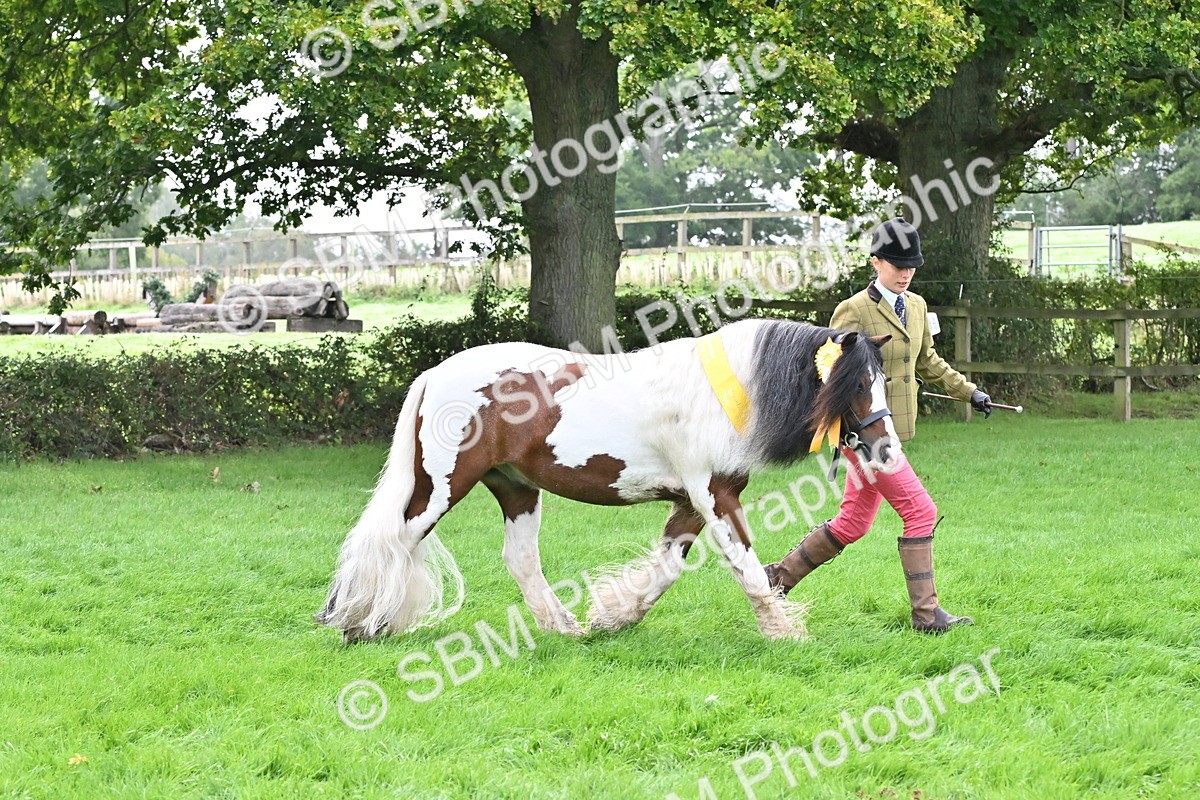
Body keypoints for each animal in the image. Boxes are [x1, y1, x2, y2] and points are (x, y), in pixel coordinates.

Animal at [317, 318, 897, 643]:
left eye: (881, 380)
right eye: (855, 383)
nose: (887, 449)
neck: (722, 392)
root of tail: (435, 374)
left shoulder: (692, 501)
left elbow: (667, 568)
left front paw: (614, 617)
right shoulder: (714, 495)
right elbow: (747, 567)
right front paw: (784, 632)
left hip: (516, 488)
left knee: (520, 560)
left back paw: (562, 626)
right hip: (441, 488)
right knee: (393, 542)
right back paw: (359, 622)